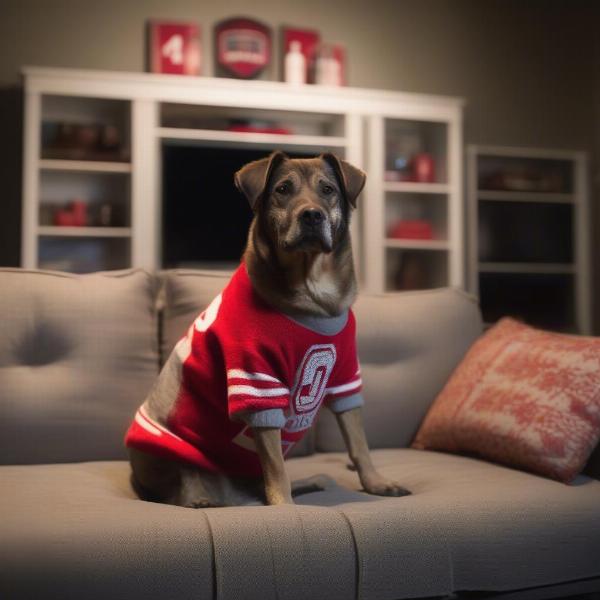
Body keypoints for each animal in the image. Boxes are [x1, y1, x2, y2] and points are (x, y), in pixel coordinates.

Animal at [124, 151, 410, 506]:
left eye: (328, 189)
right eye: (283, 189)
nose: (311, 215)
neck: (313, 294)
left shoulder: (345, 376)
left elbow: (358, 442)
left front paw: (375, 483)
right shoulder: (257, 382)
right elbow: (276, 465)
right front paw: (285, 507)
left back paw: (313, 481)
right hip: (176, 458)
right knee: (189, 485)